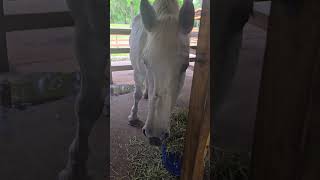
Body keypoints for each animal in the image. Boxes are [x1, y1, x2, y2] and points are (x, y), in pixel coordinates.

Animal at [128, 0, 194, 146]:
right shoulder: (138, 72)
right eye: (145, 62)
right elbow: (137, 95)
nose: (155, 136)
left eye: (185, 66)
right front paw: (133, 117)